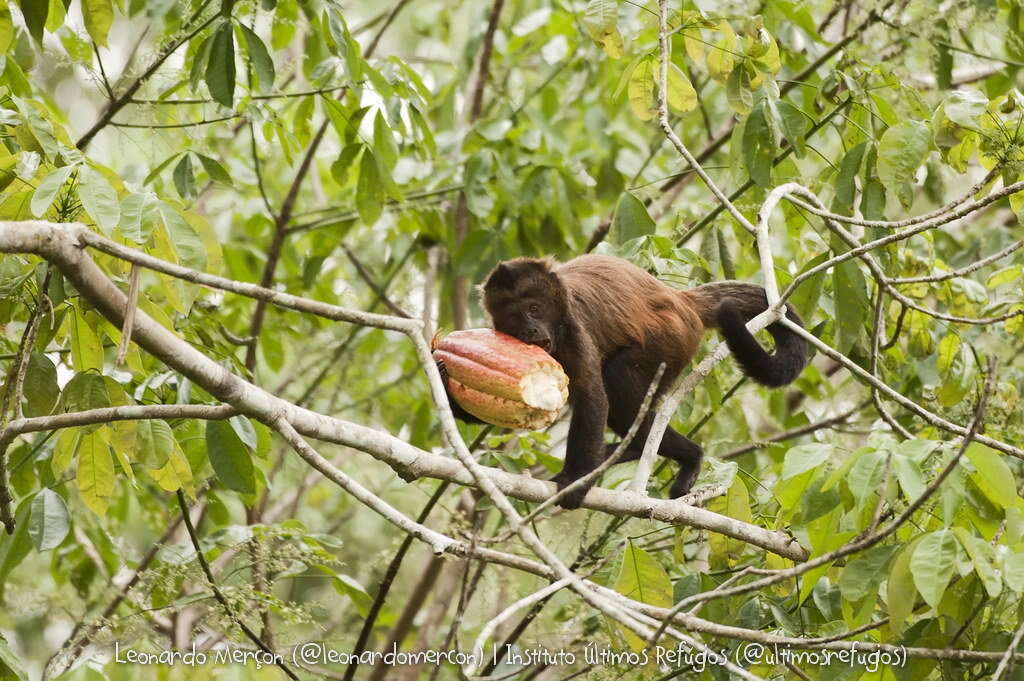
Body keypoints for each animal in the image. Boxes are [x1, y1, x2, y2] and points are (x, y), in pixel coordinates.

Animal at [440, 251, 806, 507]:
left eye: (533, 308)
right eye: (513, 316)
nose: (530, 330)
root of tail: (681, 299)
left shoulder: (575, 331)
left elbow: (592, 398)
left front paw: (575, 481)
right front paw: (444, 376)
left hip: (670, 340)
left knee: (620, 392)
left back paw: (690, 456)